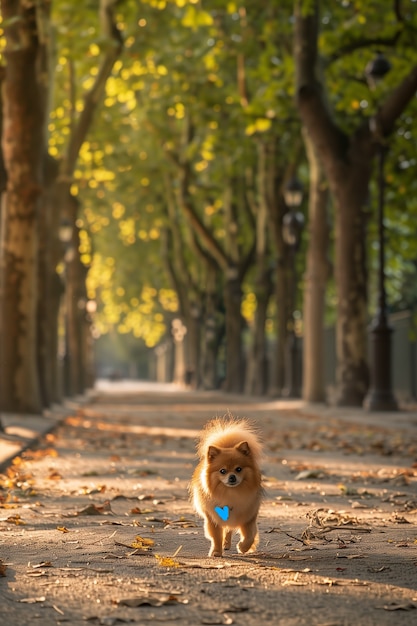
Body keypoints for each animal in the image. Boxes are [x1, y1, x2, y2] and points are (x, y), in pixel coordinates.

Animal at [189, 414, 264, 556]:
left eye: (238, 469)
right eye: (222, 471)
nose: (232, 477)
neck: (230, 494)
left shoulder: (249, 517)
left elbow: (250, 535)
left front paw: (243, 547)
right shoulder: (213, 518)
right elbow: (216, 536)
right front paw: (216, 552)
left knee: (229, 529)